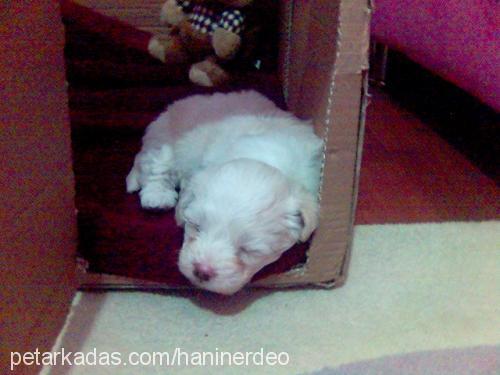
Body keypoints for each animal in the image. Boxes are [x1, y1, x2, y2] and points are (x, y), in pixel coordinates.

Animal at [127, 90, 322, 294]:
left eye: (248, 250)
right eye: (197, 227)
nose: (202, 270)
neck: (264, 159)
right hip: (165, 141)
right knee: (156, 166)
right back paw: (157, 197)